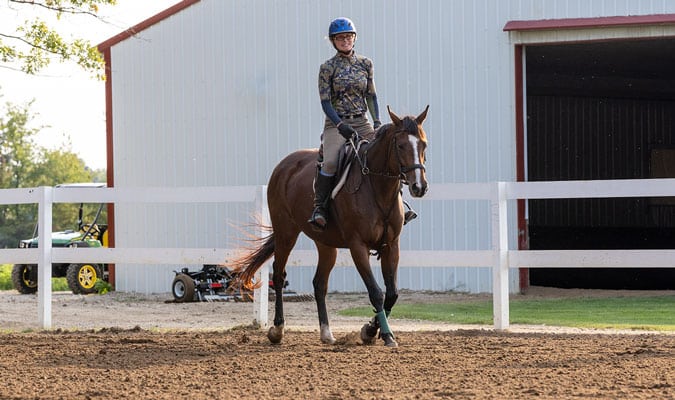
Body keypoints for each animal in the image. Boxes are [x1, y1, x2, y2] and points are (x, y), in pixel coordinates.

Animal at [231, 105, 429, 347]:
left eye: (423, 144)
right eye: (400, 145)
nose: (419, 187)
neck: (376, 187)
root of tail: (284, 166)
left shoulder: (391, 246)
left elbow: (392, 294)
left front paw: (371, 330)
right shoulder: (358, 246)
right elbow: (376, 292)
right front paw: (383, 334)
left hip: (325, 244)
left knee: (319, 284)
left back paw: (326, 333)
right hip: (286, 233)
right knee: (278, 275)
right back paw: (277, 329)